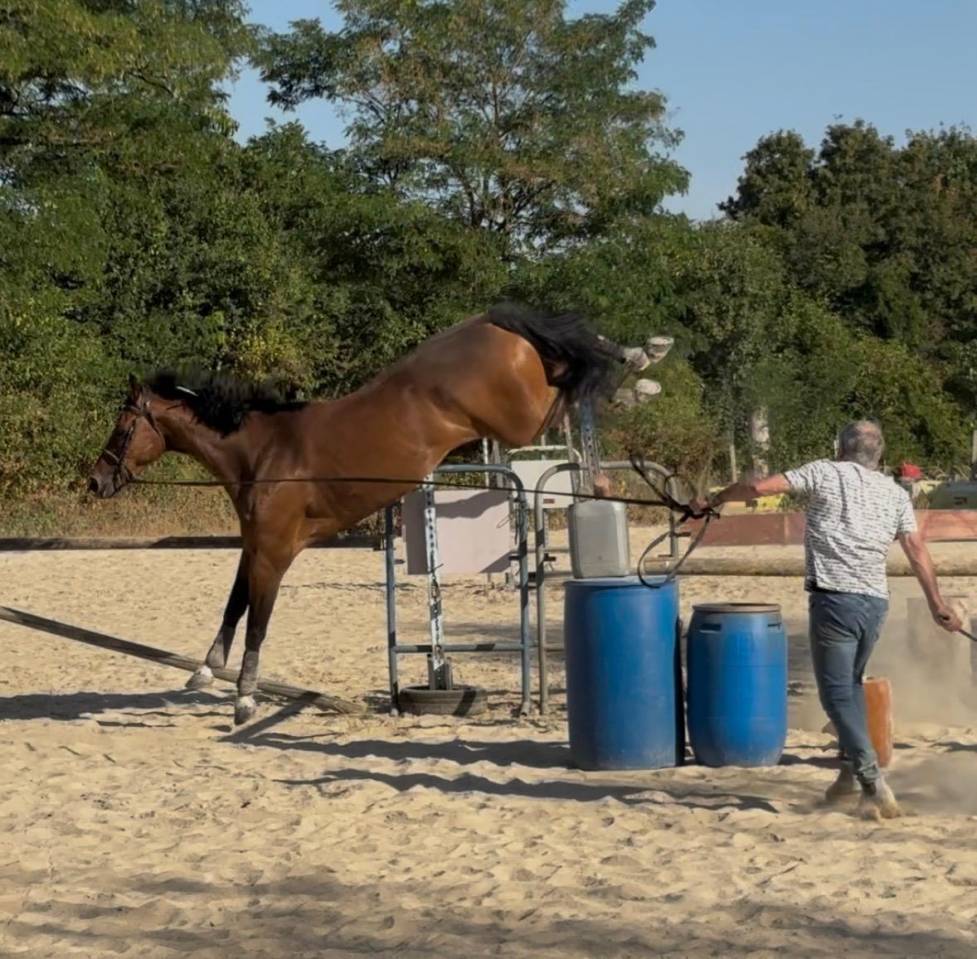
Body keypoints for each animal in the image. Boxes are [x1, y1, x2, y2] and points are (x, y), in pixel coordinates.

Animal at [88, 304, 618, 724]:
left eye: (122, 427)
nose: (96, 481)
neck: (262, 452)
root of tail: (490, 322)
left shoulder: (274, 554)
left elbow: (258, 619)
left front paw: (244, 698)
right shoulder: (254, 546)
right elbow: (234, 606)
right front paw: (203, 671)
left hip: (520, 422)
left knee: (572, 388)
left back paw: (626, 379)